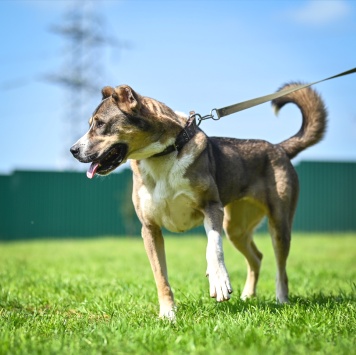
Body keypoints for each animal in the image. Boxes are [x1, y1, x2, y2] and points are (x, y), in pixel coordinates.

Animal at [69, 82, 326, 320]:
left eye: (99, 123)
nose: (73, 150)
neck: (162, 155)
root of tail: (279, 148)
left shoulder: (211, 207)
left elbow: (213, 246)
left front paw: (219, 281)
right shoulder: (149, 228)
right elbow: (160, 276)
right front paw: (168, 314)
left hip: (278, 224)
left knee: (281, 268)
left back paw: (281, 300)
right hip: (236, 227)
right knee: (257, 257)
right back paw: (247, 296)